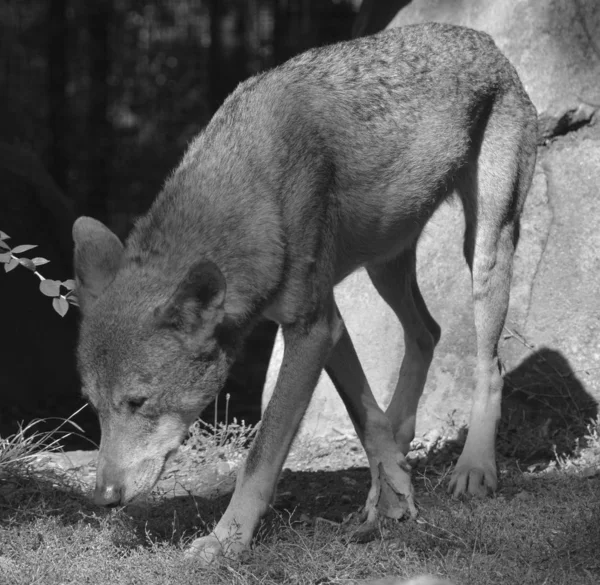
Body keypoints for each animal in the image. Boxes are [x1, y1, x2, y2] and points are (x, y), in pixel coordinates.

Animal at [72, 24, 536, 564]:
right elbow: (364, 416)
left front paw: (225, 539)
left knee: (489, 363)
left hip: (484, 252)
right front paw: (392, 489)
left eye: (137, 402)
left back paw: (475, 467)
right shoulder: (328, 323)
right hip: (384, 265)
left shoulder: (311, 329)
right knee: (427, 332)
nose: (103, 497)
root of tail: (488, 43)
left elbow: (262, 453)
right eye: (94, 407)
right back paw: (403, 442)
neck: (254, 189)